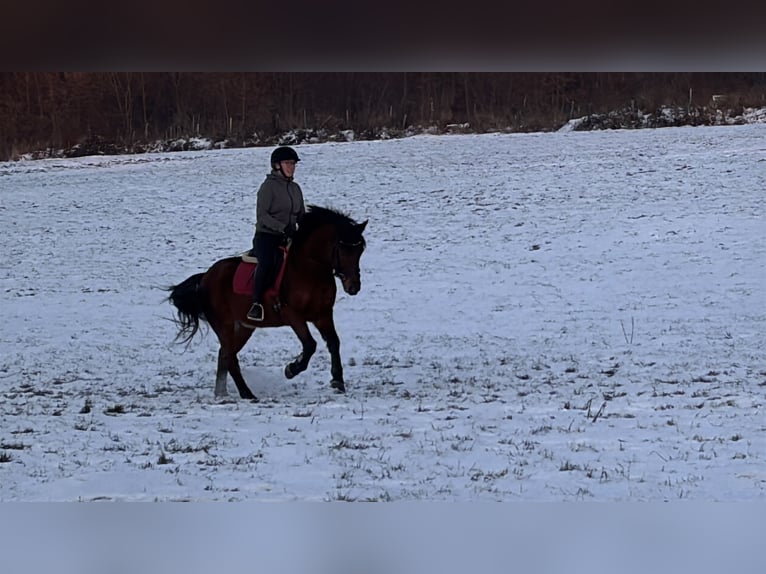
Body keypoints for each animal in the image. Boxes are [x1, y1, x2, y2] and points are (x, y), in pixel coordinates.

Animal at [167, 205, 368, 401]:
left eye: (360, 251)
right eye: (342, 249)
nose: (353, 286)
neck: (310, 270)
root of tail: (205, 277)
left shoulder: (323, 315)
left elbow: (334, 343)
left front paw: (337, 381)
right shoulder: (293, 315)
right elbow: (310, 345)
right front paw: (291, 369)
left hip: (244, 326)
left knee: (224, 354)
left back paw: (222, 392)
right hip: (224, 325)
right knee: (229, 356)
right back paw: (246, 393)